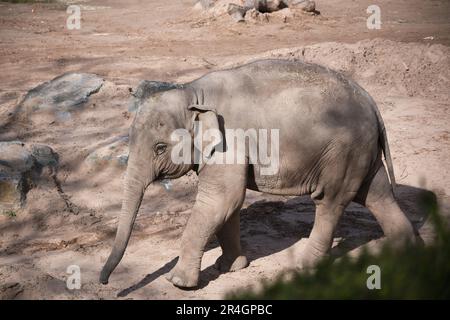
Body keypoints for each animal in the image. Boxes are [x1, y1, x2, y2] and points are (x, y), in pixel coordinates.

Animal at [100, 58, 416, 288]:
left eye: (160, 148)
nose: (104, 282)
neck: (192, 92)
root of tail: (373, 105)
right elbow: (229, 204)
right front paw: (229, 267)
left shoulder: (230, 141)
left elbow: (221, 200)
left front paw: (179, 283)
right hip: (361, 152)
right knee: (376, 194)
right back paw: (408, 253)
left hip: (343, 152)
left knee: (330, 201)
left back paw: (304, 267)